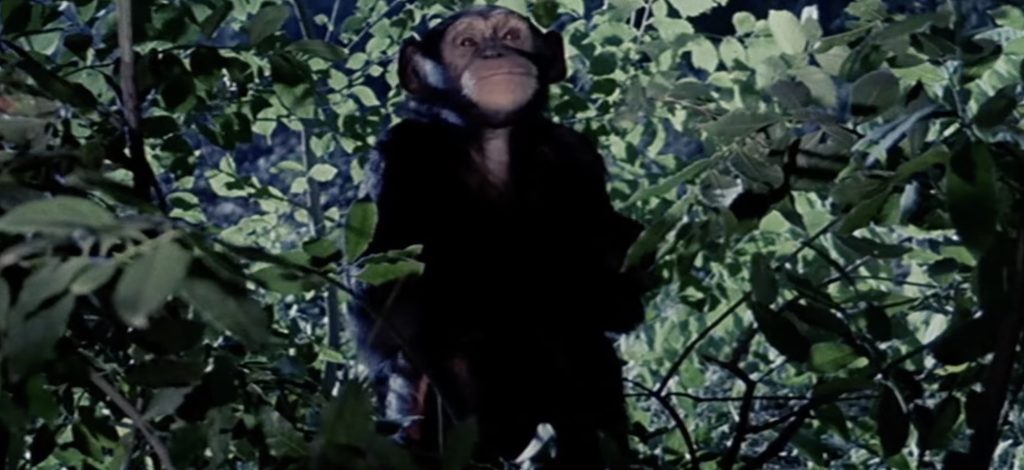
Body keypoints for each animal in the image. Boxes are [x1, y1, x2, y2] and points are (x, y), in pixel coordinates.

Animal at [347, 6, 653, 468]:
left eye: (510, 35)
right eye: (467, 43)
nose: (494, 51)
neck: (489, 137)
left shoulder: (577, 154)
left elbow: (619, 303)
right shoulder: (398, 155)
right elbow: (384, 307)